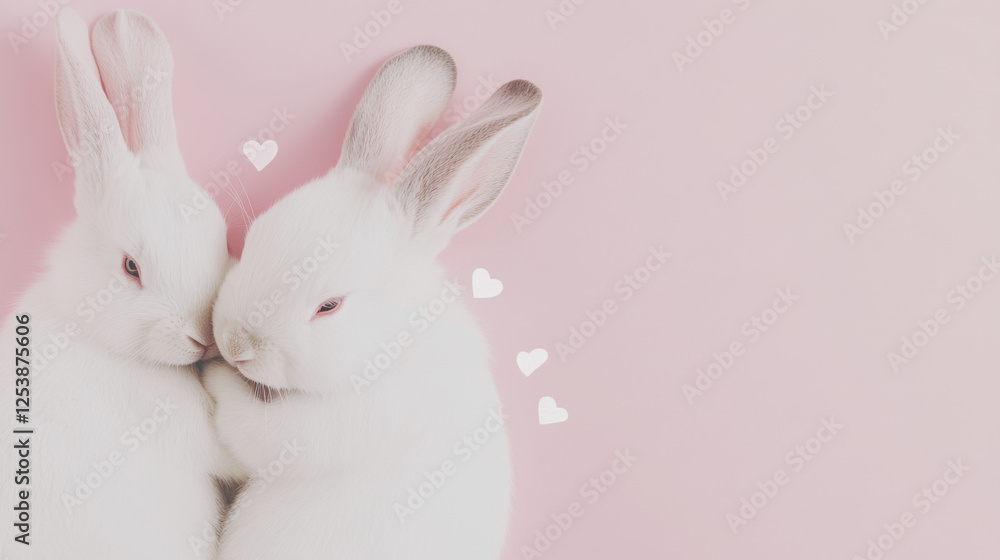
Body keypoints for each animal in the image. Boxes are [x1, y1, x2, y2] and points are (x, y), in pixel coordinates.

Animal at [202, 45, 542, 559]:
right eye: (254, 236)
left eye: (330, 306)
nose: (234, 344)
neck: (391, 341)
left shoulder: (337, 425)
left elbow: (254, 428)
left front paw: (215, 376)